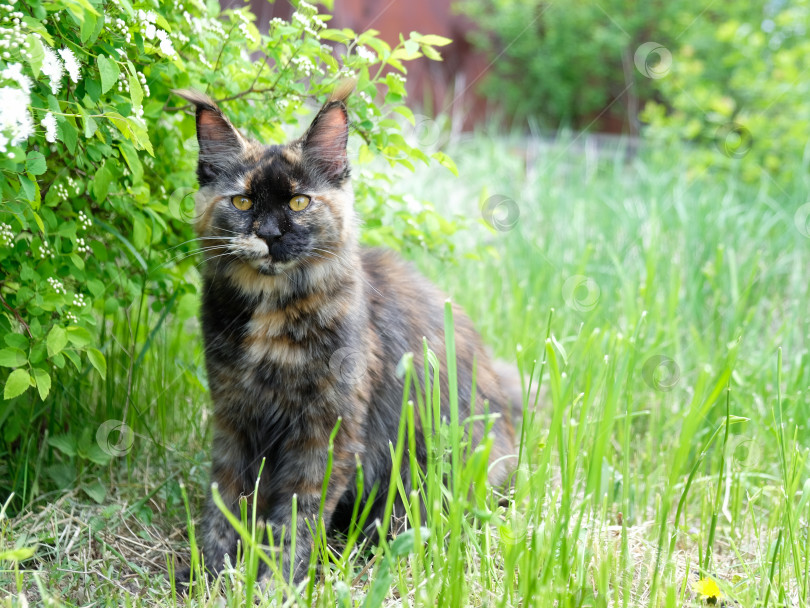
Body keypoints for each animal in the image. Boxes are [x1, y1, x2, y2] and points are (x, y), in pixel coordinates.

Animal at [174, 83, 520, 588]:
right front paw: (209, 572)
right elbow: (226, 501)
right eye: (242, 203)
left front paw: (276, 583)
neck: (272, 316)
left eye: (299, 202)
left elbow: (297, 513)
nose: (270, 234)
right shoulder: (234, 417)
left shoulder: (326, 430)